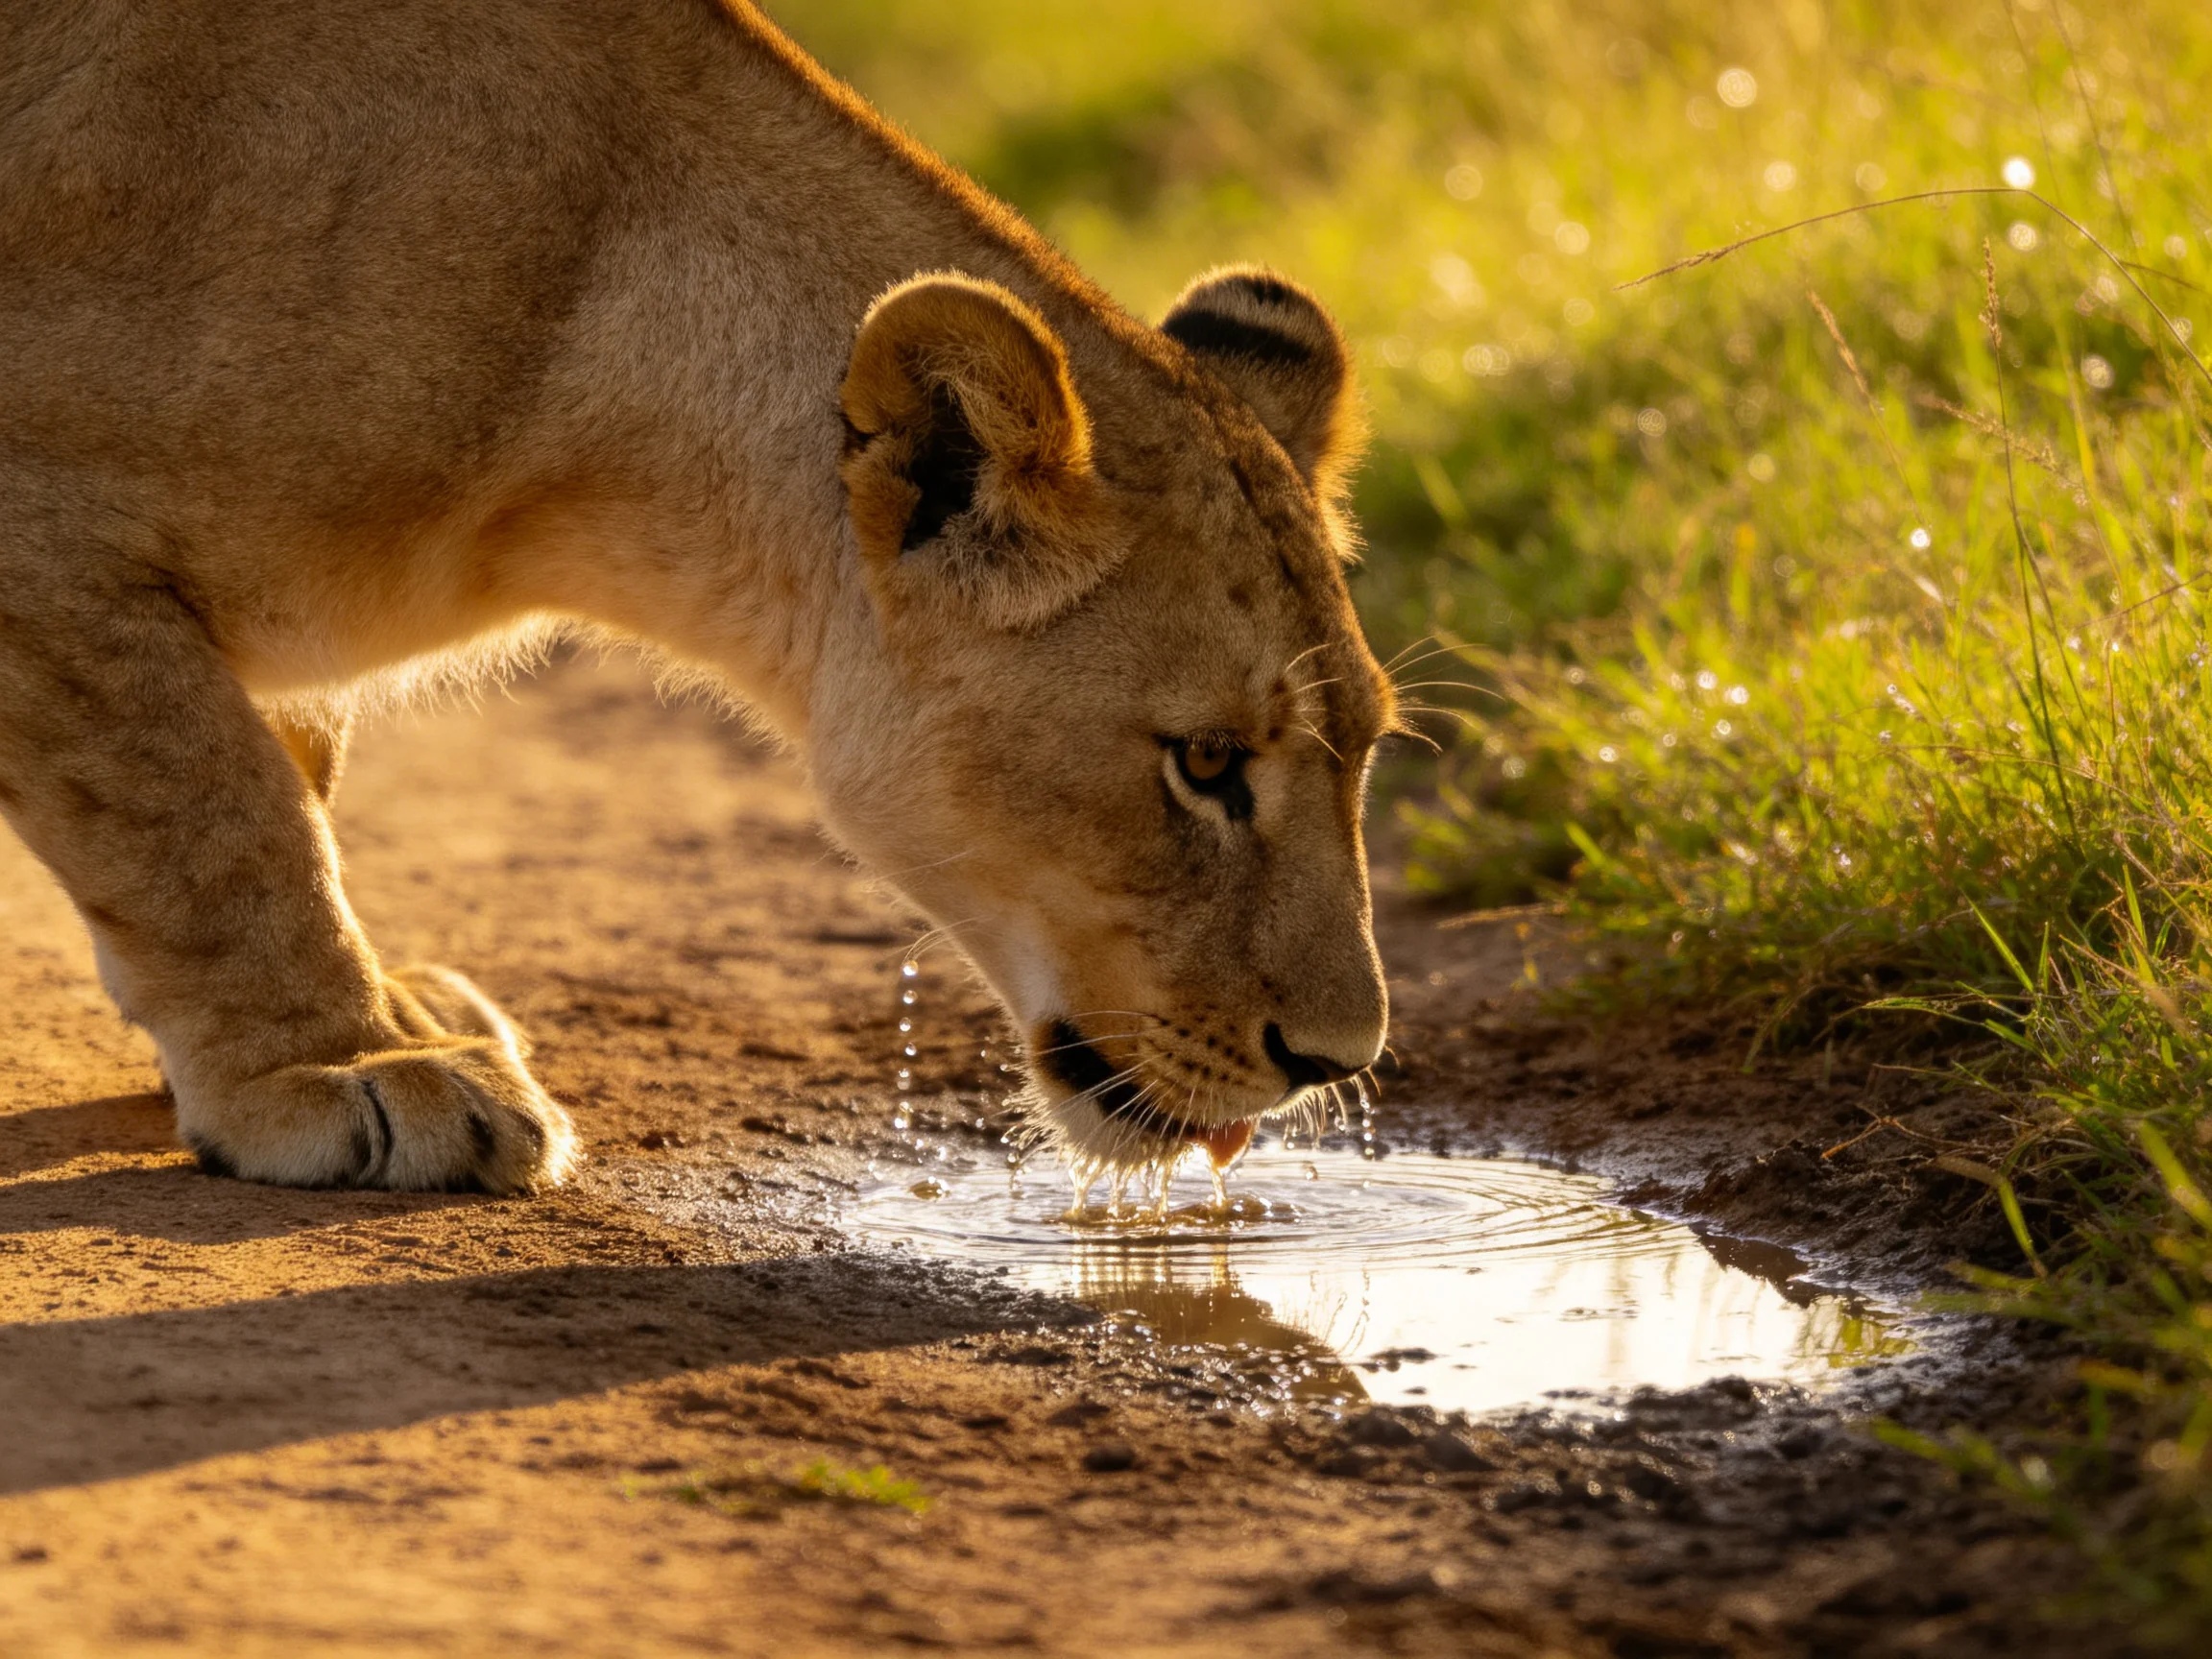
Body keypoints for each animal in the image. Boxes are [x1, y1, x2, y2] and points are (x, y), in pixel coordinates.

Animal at [0, 0, 1394, 1192]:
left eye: (1369, 748)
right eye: (1204, 763)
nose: (1338, 1061)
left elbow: (287, 785)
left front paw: (381, 1013)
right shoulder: (46, 527)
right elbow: (217, 818)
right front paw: (343, 1064)